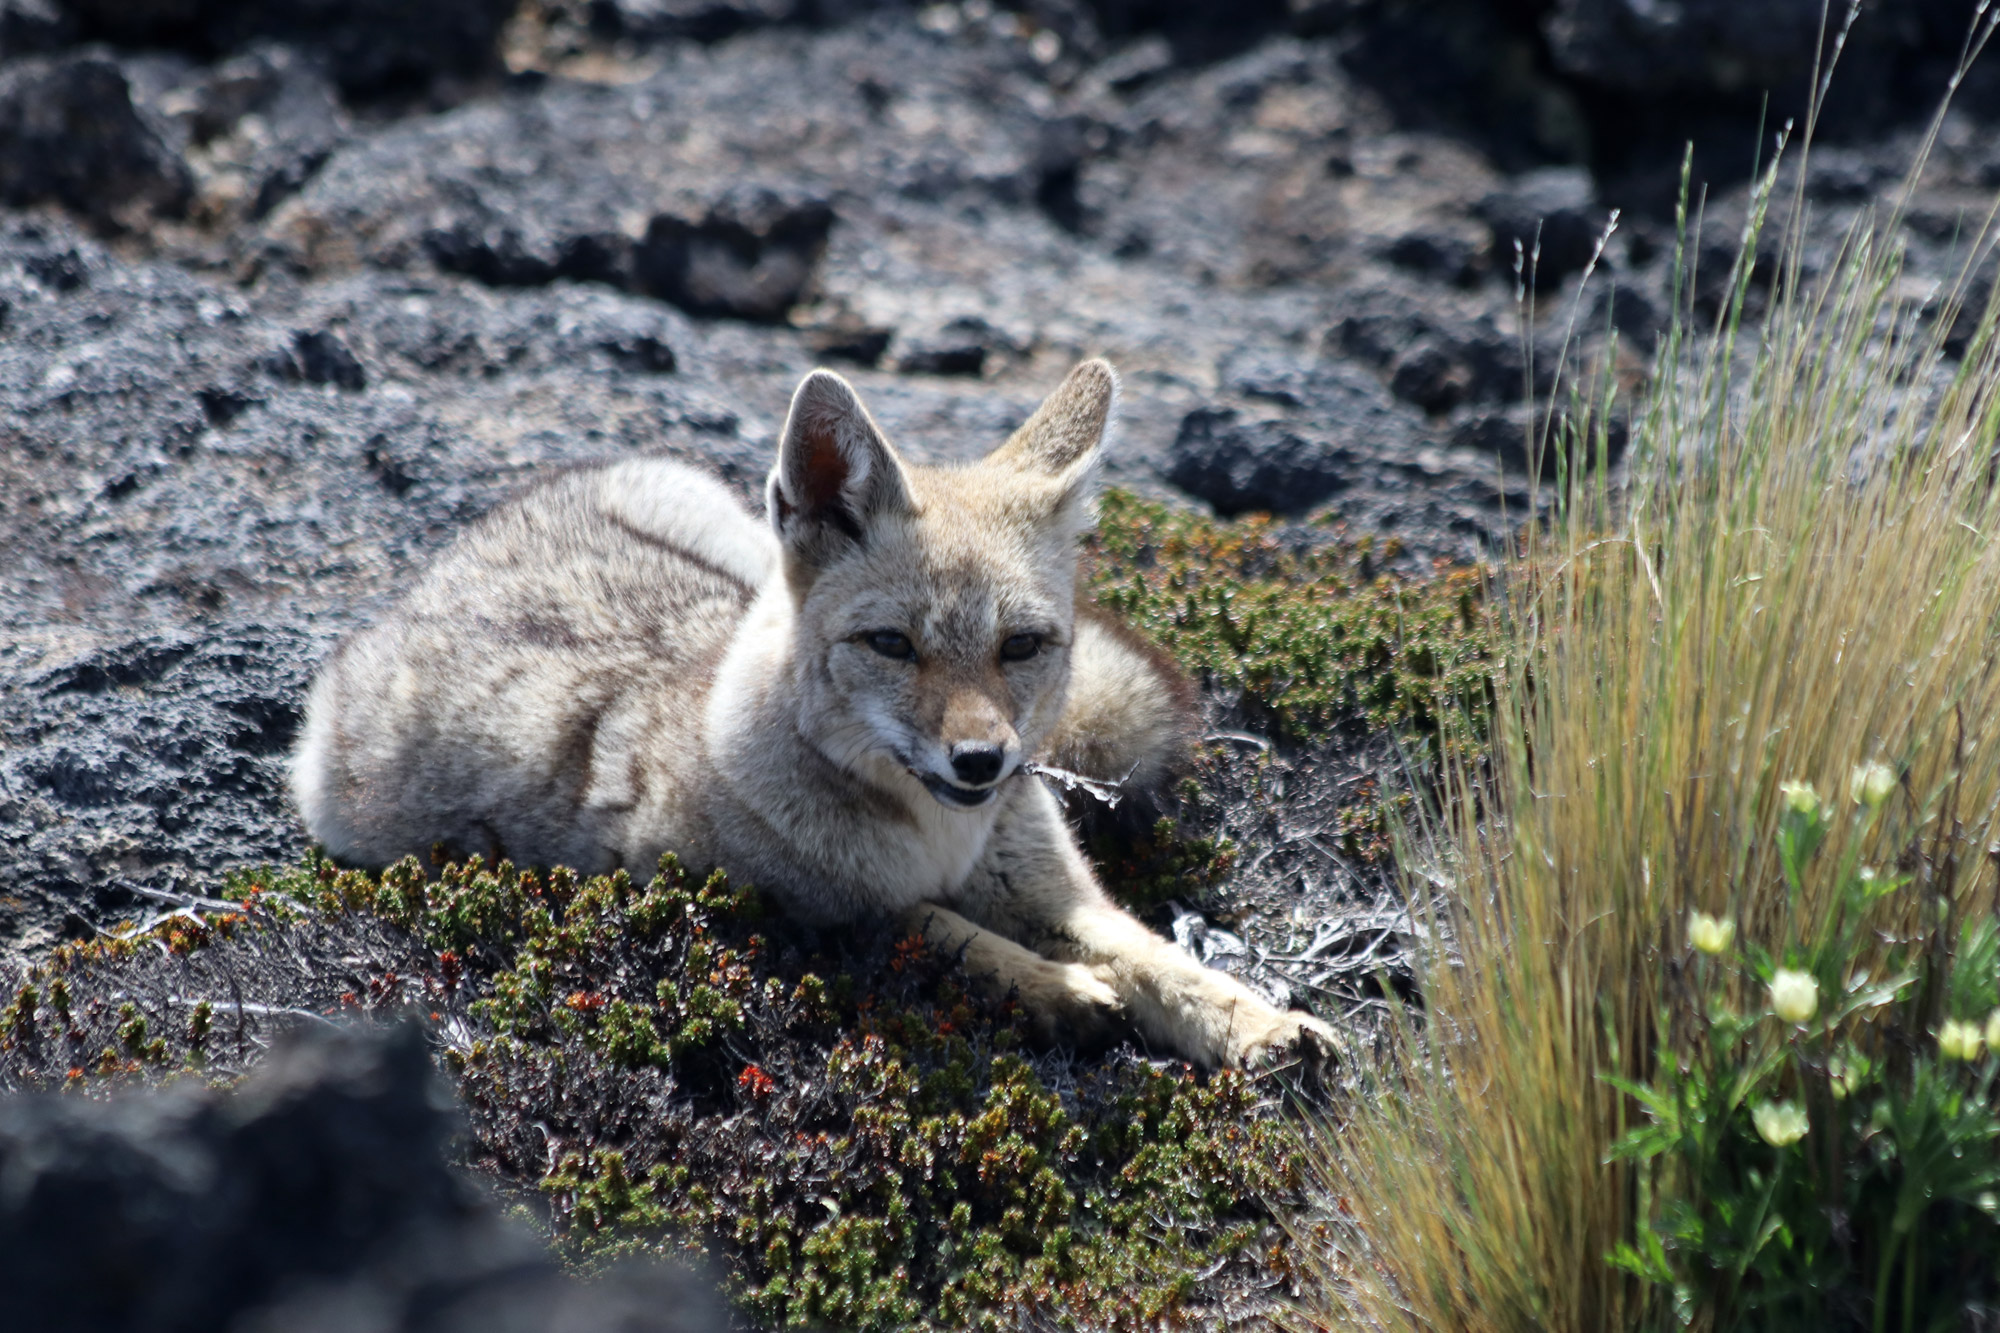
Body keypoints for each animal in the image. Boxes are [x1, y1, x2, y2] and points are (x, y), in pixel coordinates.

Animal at [292, 358, 1328, 1064]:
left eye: (1022, 646)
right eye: (893, 645)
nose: (981, 762)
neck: (938, 840)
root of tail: (437, 570)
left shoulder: (1060, 893)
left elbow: (1161, 960)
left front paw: (1265, 1021)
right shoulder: (786, 910)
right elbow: (939, 931)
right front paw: (1059, 987)